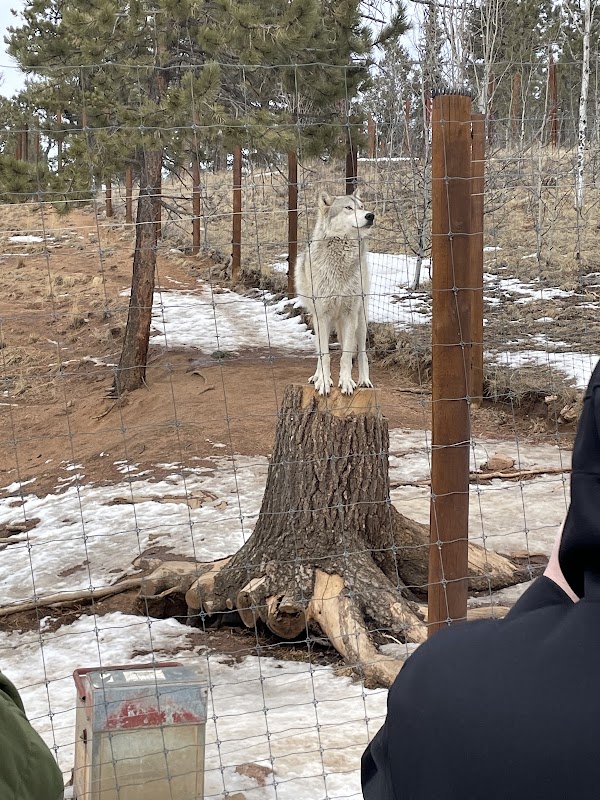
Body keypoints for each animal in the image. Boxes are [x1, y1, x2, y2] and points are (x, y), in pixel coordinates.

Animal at [295, 189, 375, 395]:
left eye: (362, 207)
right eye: (348, 208)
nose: (370, 215)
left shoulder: (349, 315)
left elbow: (346, 356)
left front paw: (346, 382)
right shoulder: (322, 316)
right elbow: (325, 355)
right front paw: (323, 382)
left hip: (361, 319)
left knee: (362, 352)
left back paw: (364, 380)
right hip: (319, 321)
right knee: (320, 351)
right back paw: (317, 377)